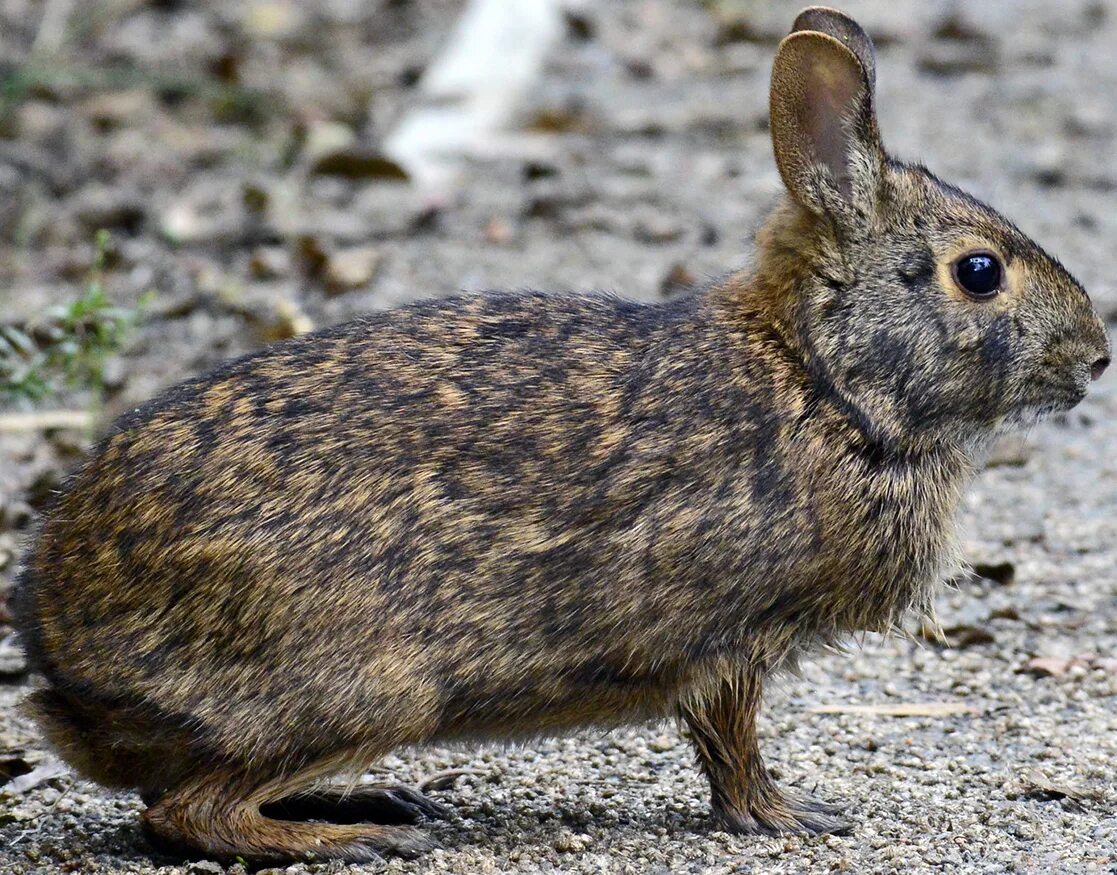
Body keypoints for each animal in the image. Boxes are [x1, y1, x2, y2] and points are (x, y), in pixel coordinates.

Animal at [13, 5, 1112, 867]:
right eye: (978, 272)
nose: (1097, 356)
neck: (824, 381)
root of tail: (62, 653)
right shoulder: (731, 642)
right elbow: (731, 742)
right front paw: (789, 815)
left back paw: (374, 802)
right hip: (367, 686)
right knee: (184, 810)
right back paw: (350, 833)